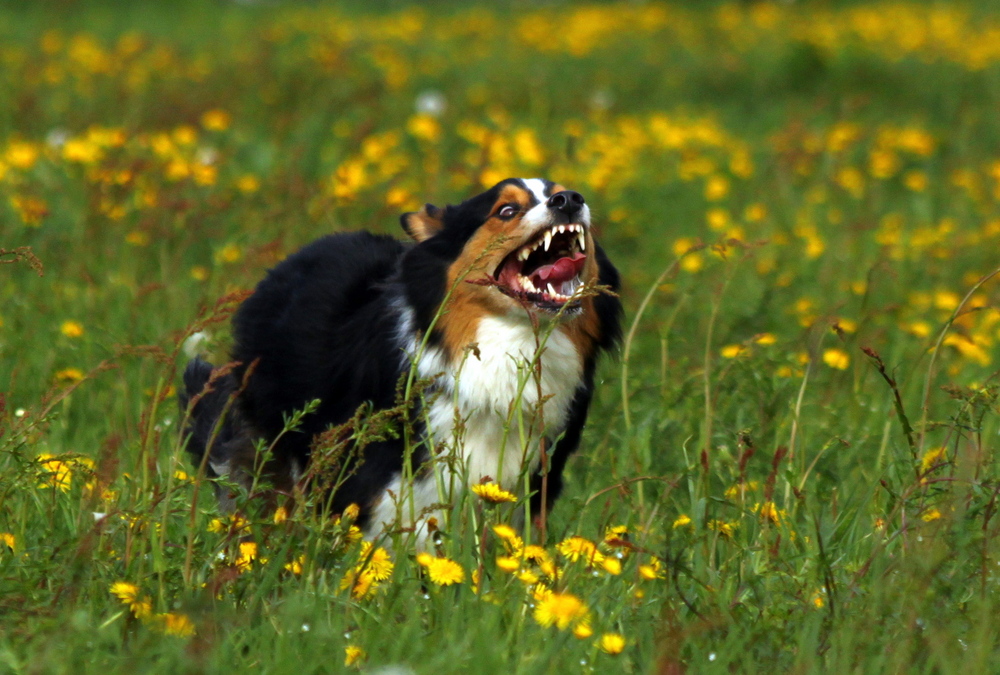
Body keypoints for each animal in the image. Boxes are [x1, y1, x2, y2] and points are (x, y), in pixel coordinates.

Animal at [179, 177, 616, 548]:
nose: (570, 200)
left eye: (561, 193)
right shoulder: (378, 479)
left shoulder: (530, 477)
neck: (510, 342)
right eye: (506, 210)